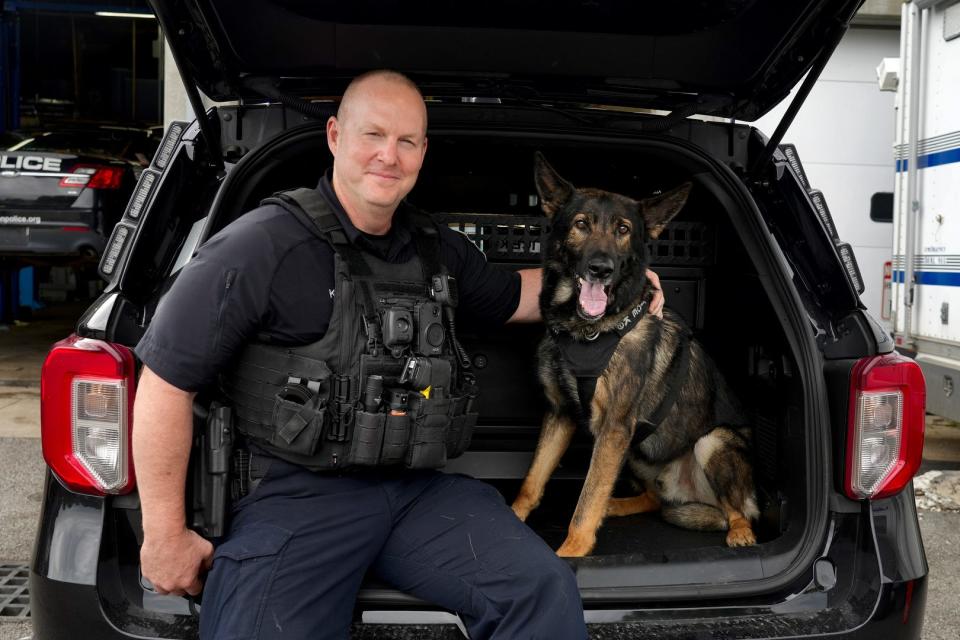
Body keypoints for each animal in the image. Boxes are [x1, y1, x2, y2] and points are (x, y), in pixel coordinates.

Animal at [510, 154, 756, 556]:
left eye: (623, 230)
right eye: (581, 224)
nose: (601, 268)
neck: (589, 330)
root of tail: (689, 494)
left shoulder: (613, 428)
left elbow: (586, 501)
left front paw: (571, 552)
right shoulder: (561, 414)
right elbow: (533, 480)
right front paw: (512, 518)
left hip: (712, 441)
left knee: (738, 511)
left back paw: (740, 532)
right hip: (637, 453)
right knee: (654, 500)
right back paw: (617, 504)